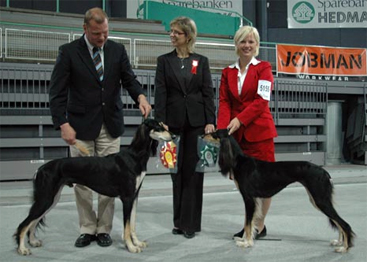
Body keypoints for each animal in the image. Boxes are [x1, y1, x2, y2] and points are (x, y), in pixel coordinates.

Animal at [15, 118, 173, 256]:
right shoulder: (127, 198)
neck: (134, 156)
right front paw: (131, 247)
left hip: (52, 199)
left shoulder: (134, 196)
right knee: (25, 224)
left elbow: (132, 223)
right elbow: (127, 226)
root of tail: (40, 168)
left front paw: (137, 243)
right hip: (46, 198)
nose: (173, 136)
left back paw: (33, 241)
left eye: (163, 125)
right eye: (158, 126)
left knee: (33, 221)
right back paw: (22, 249)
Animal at [213, 130, 356, 253]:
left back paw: (344, 247)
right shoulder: (254, 200)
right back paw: (339, 242)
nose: (206, 133)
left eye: (214, 133)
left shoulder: (249, 199)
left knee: (344, 224)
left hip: (320, 200)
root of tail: (325, 173)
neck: (239, 161)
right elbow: (249, 222)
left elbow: (248, 223)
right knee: (338, 221)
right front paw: (244, 239)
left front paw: (247, 243)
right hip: (317, 200)